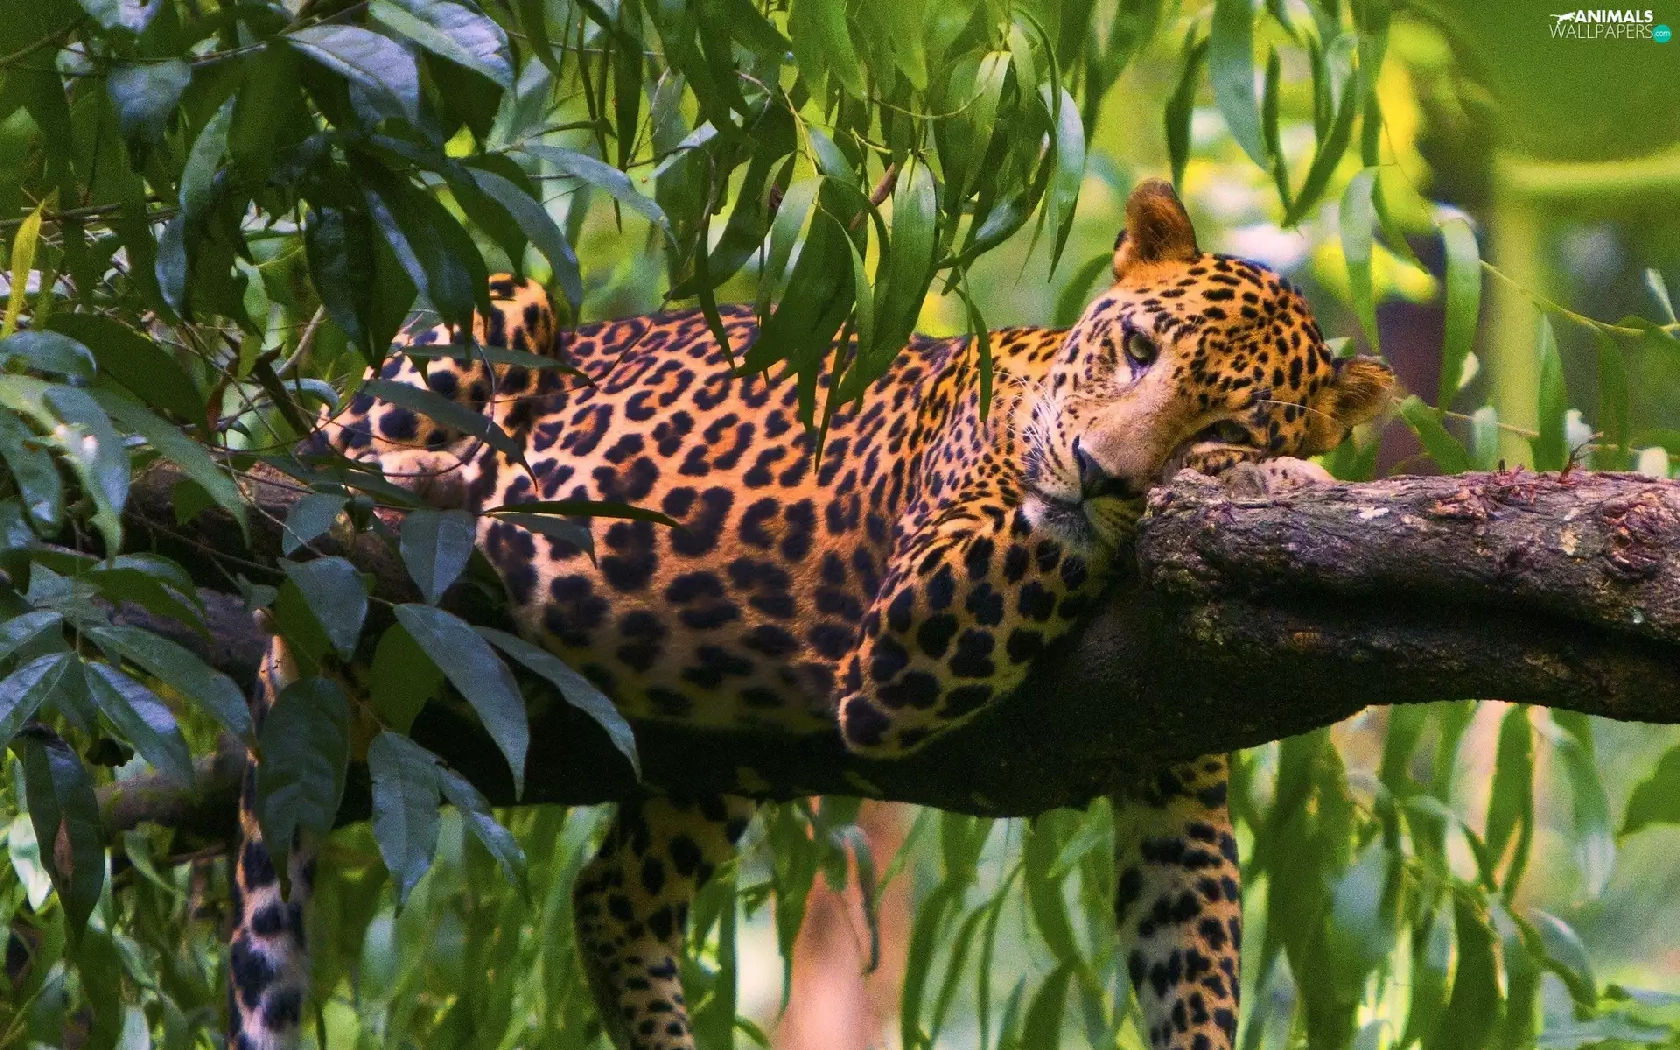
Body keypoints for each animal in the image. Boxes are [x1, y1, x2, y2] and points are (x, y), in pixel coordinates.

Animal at [226, 179, 1394, 1050]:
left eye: (1227, 419)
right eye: (1140, 348)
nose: (1099, 471)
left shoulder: (1171, 765)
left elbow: (1193, 962)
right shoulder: (917, 624)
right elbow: (1055, 535)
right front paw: (1259, 486)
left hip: (708, 745)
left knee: (610, 900)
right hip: (497, 309)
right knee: (315, 465)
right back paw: (431, 483)